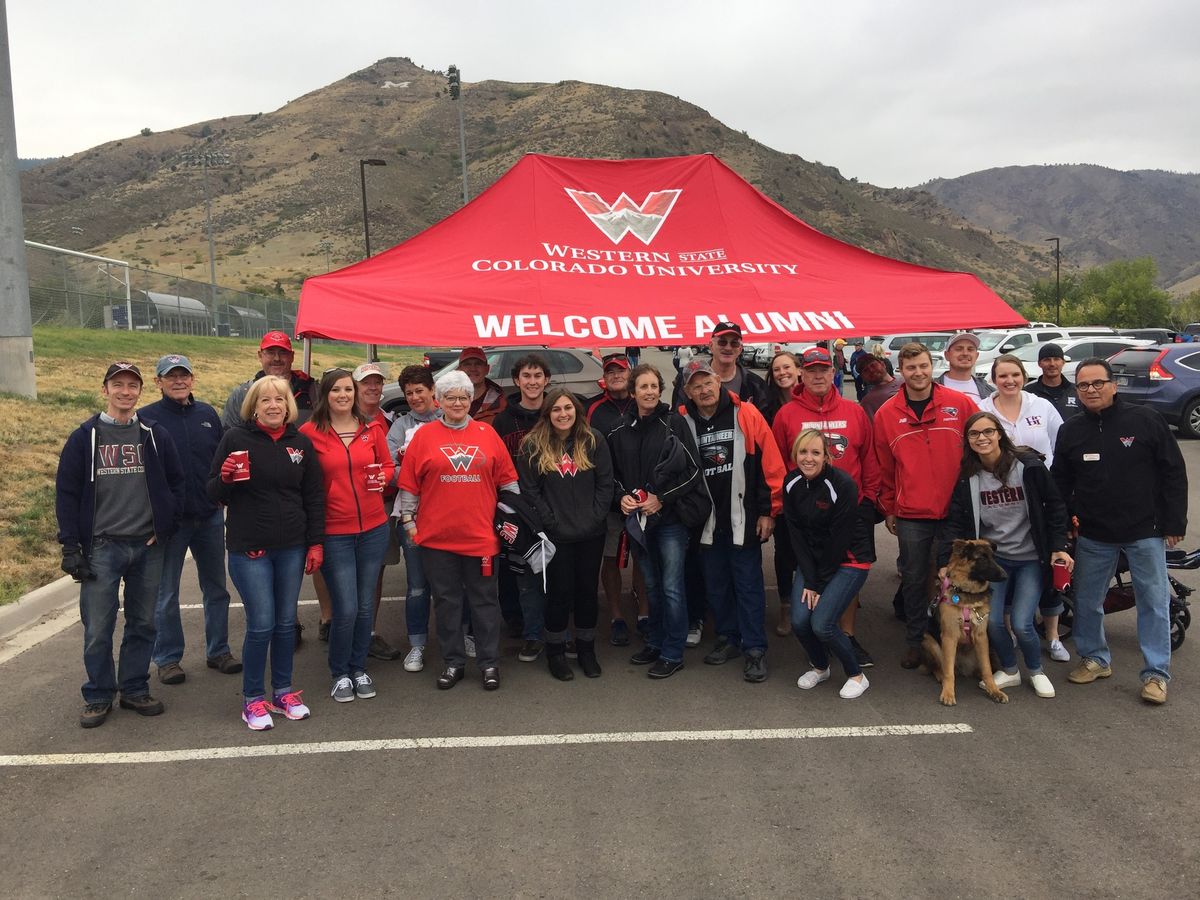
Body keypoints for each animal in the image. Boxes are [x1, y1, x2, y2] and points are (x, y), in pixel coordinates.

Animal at [921, 540, 1008, 710]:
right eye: (982, 558)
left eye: (993, 557)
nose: (1005, 575)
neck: (968, 594)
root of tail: (962, 667)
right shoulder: (949, 636)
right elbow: (949, 672)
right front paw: (948, 693)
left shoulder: (981, 637)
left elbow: (987, 669)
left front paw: (994, 690)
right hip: (930, 640)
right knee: (939, 667)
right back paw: (941, 676)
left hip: (987, 648)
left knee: (982, 667)